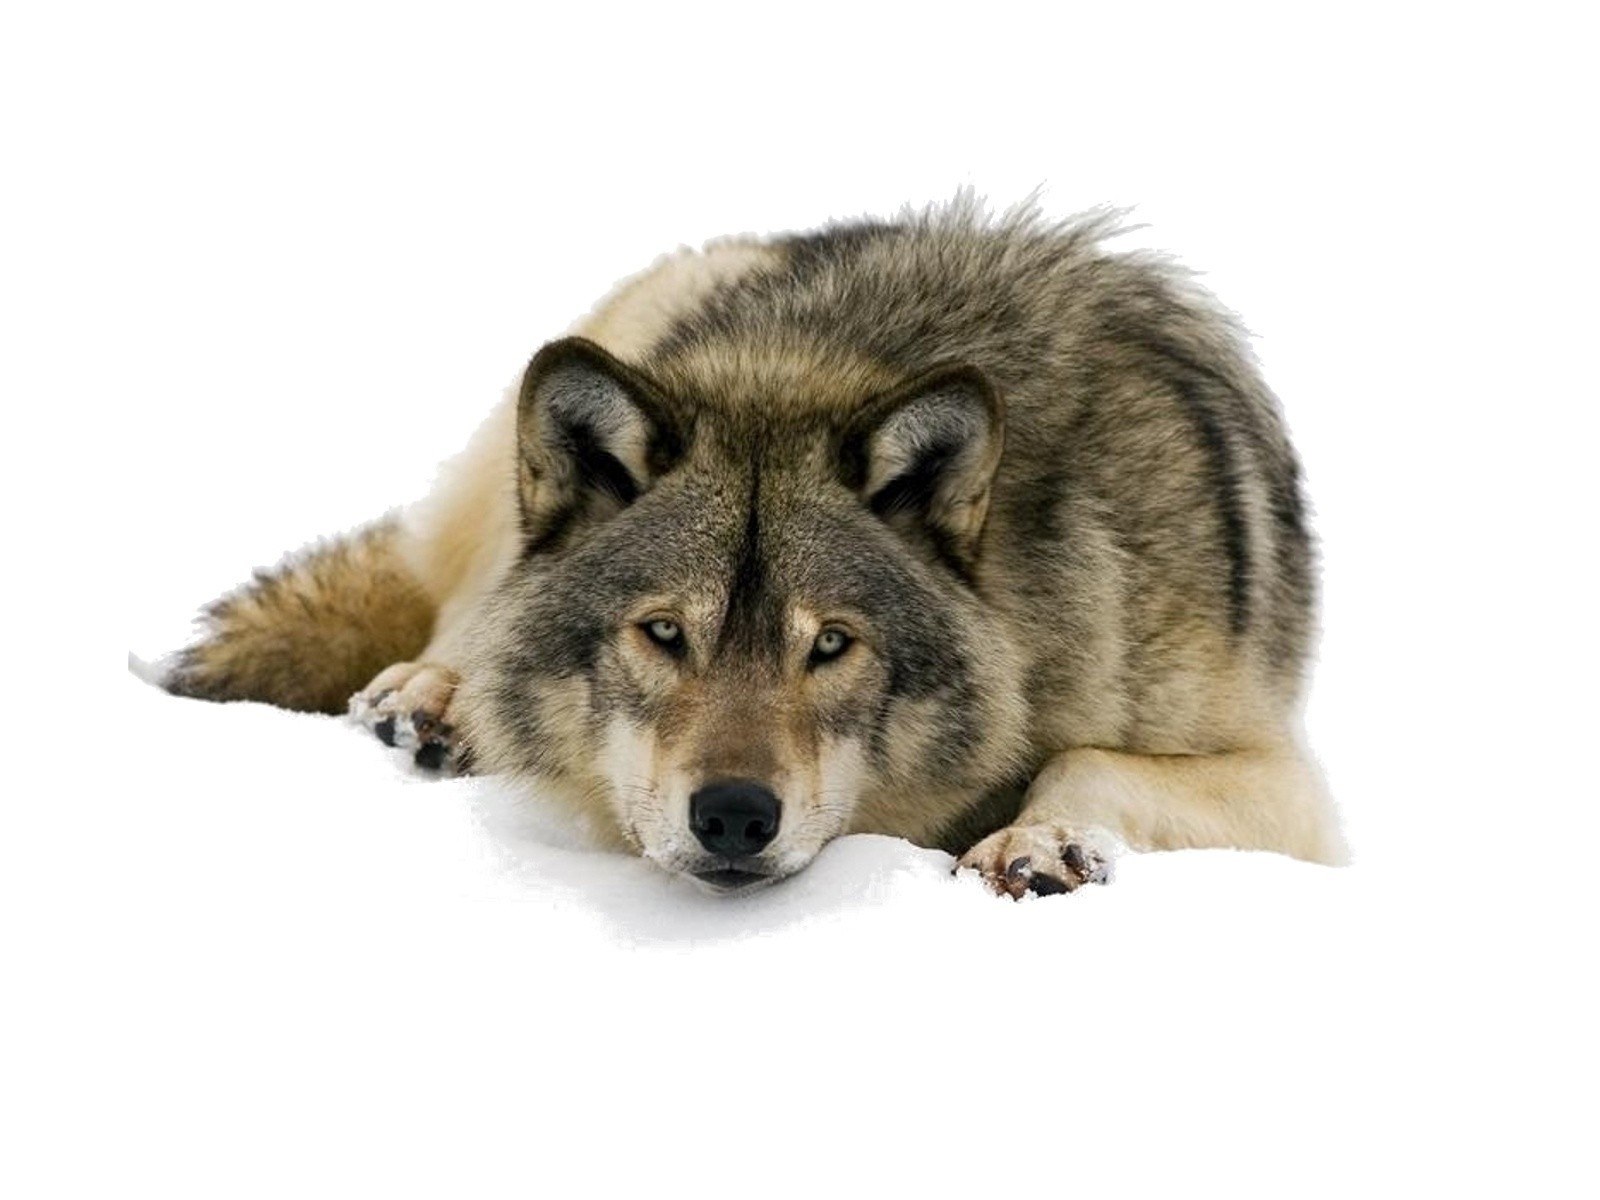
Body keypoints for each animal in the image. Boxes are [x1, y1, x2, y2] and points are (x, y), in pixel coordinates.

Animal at [166, 198, 1347, 897]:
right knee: (465, 604)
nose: (733, 815)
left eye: (829, 645)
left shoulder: (1291, 792)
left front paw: (1036, 840)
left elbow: (1083, 757)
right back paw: (431, 700)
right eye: (661, 634)